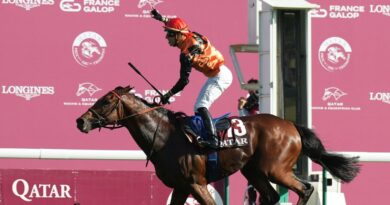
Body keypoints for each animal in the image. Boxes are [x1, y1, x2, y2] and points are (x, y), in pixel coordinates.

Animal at [75, 86, 360, 205]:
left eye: (105, 101)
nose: (81, 120)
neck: (165, 136)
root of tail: (291, 125)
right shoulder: (181, 187)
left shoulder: (196, 183)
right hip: (253, 170)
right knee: (269, 196)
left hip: (275, 169)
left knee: (305, 189)